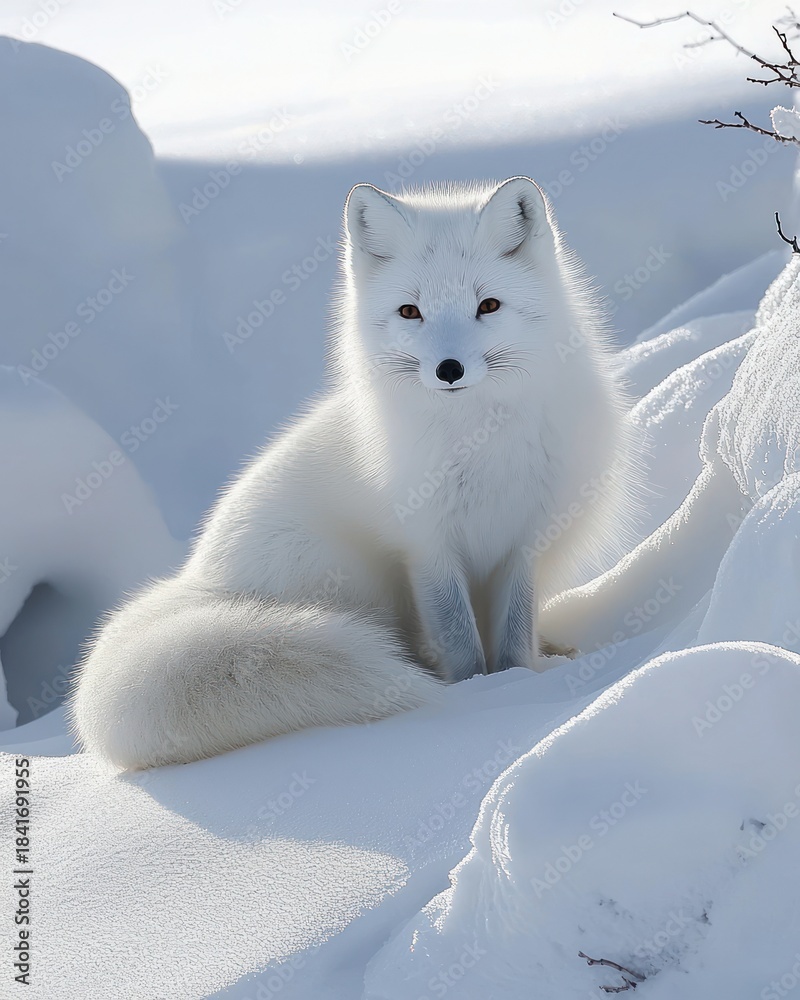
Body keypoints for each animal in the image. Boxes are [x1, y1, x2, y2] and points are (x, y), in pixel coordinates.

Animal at [70, 176, 638, 770]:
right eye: (410, 311)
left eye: (488, 305)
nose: (449, 369)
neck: (481, 441)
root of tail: (197, 580)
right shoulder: (427, 546)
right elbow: (460, 641)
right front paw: (477, 695)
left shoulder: (524, 539)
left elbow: (512, 635)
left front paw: (519, 679)